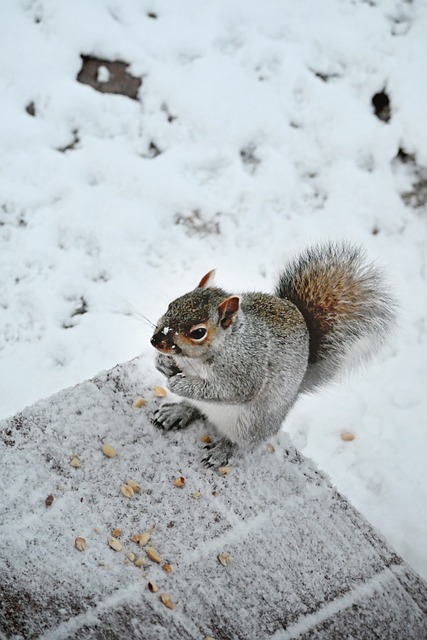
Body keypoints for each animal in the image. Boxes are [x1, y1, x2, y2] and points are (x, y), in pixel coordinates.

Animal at [151, 242, 398, 468]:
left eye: (198, 332)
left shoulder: (245, 370)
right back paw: (178, 411)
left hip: (250, 425)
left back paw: (223, 449)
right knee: (196, 408)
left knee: (242, 443)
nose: (155, 341)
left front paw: (178, 383)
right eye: (171, 304)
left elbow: (227, 390)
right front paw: (162, 363)